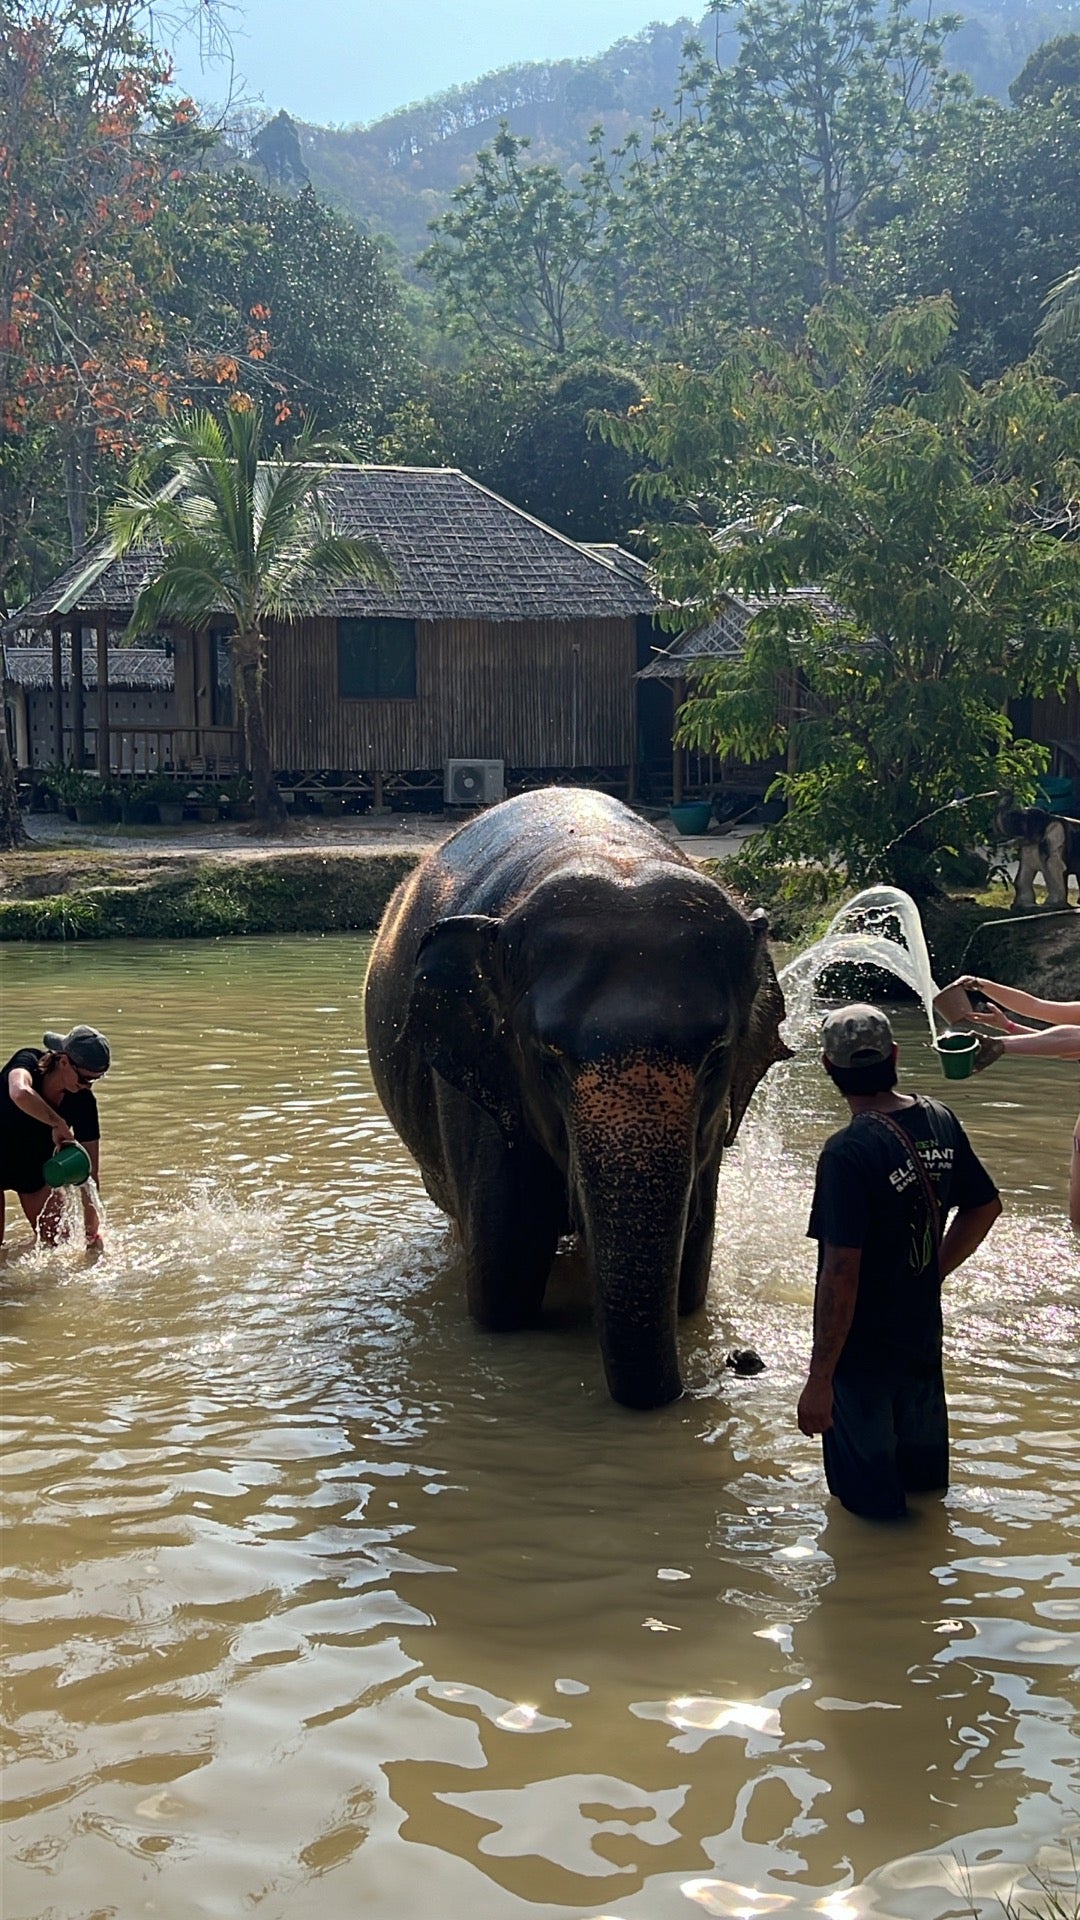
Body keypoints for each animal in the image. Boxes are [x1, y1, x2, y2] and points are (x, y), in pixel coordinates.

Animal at [364, 788, 790, 1409]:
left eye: (716, 1057)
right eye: (549, 1059)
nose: (745, 1361)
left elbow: (691, 1277)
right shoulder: (481, 1085)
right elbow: (503, 1283)